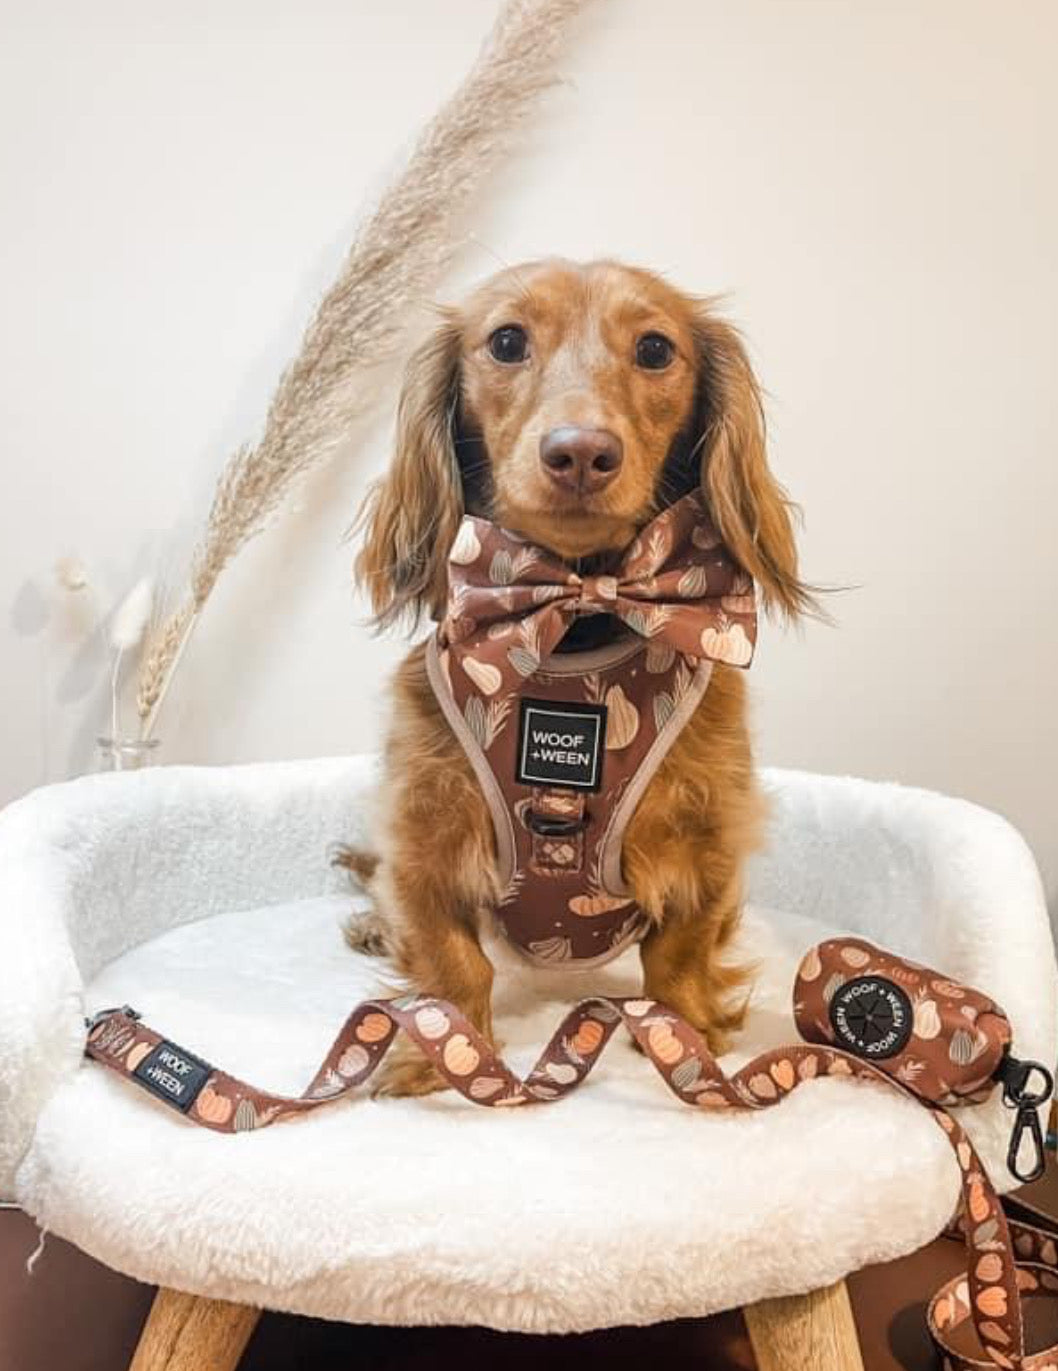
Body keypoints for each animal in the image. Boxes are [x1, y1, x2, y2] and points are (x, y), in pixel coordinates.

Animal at [342, 257, 805, 1091]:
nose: (581, 452)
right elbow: (449, 958)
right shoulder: (423, 834)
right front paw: (438, 1053)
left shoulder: (713, 833)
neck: (573, 623)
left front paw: (688, 1034)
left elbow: (681, 949)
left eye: (655, 348)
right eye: (505, 340)